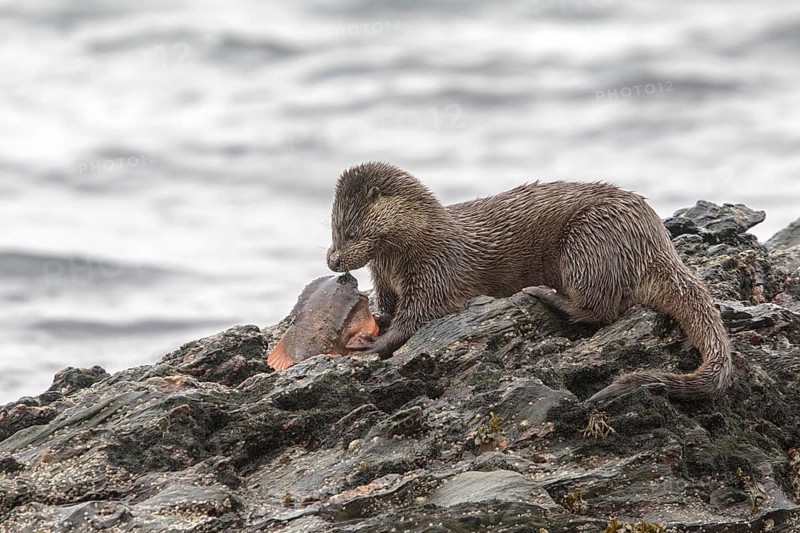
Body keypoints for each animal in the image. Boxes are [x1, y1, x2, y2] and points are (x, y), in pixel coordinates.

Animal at [325, 162, 732, 402]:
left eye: (350, 232)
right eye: (332, 231)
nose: (332, 260)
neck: (418, 242)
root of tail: (655, 239)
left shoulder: (437, 270)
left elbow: (417, 318)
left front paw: (374, 344)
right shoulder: (386, 280)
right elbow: (388, 308)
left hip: (589, 240)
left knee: (600, 308)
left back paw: (544, 294)